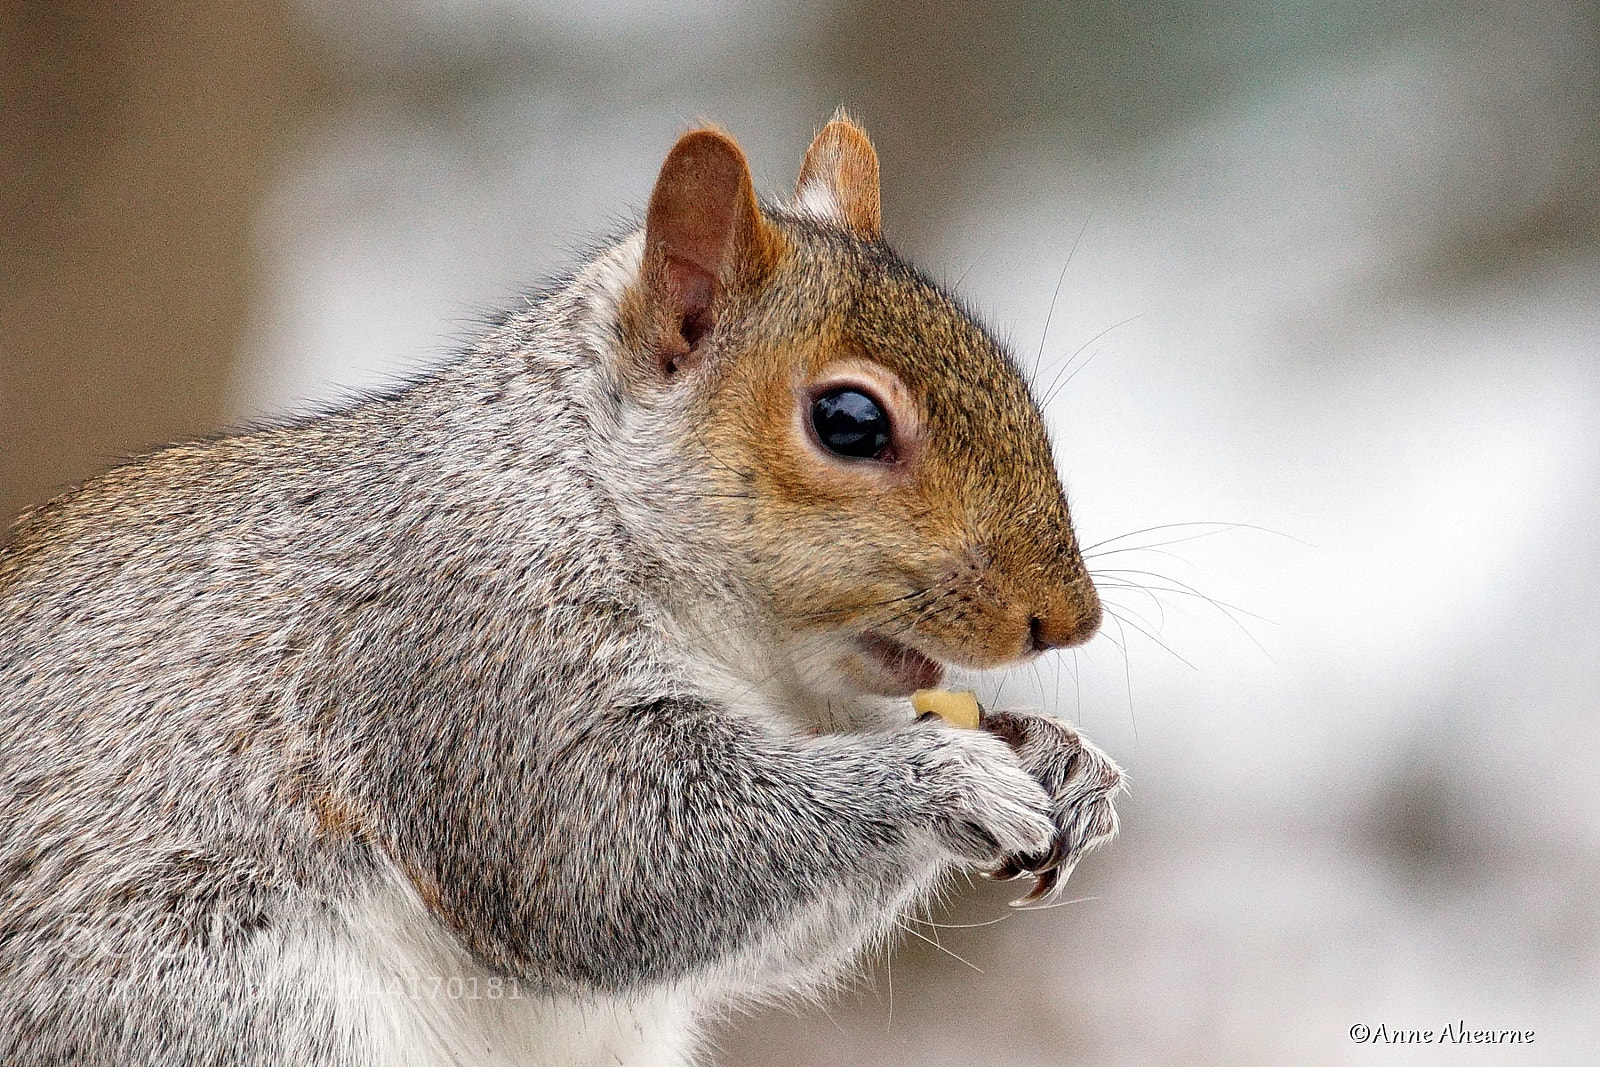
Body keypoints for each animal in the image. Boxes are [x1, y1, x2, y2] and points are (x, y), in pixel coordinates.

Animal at [0, 113, 1125, 1066]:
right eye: (849, 421)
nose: (1070, 619)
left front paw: (1056, 754)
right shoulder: (468, 645)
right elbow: (599, 860)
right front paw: (942, 774)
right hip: (214, 997)